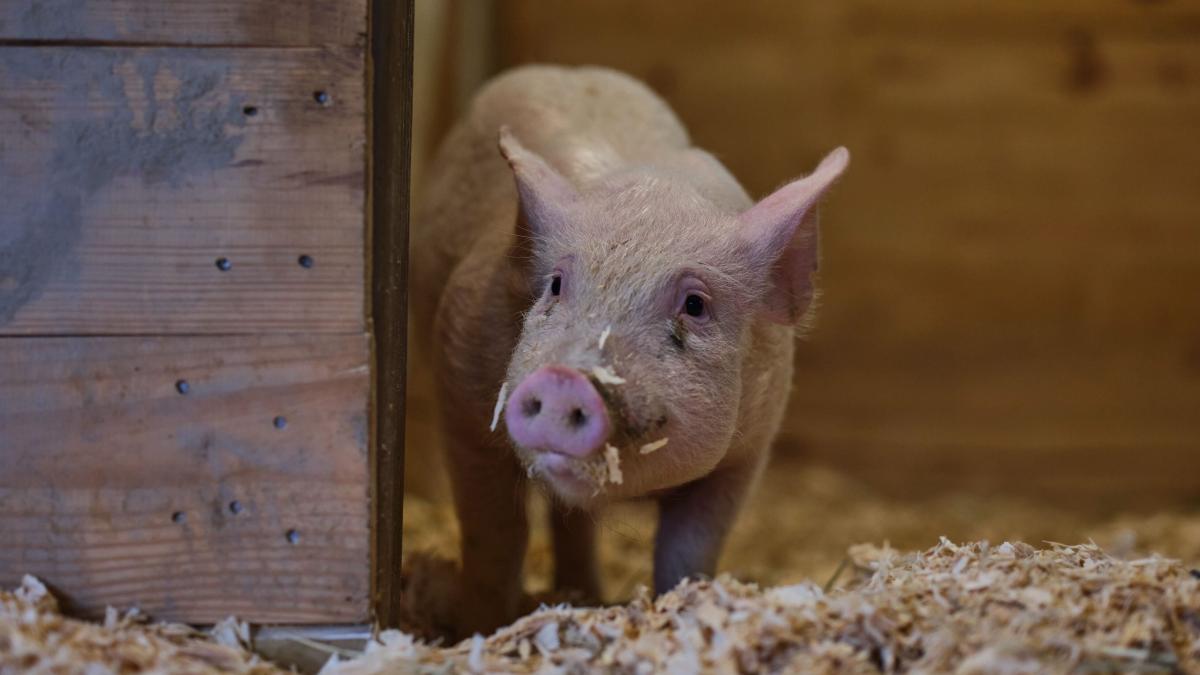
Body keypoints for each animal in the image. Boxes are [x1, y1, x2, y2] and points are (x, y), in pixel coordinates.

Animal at [411, 65, 848, 636]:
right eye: (556, 285)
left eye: (695, 304)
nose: (565, 378)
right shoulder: (461, 394)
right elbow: (495, 538)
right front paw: (479, 629)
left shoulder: (747, 453)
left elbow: (689, 551)